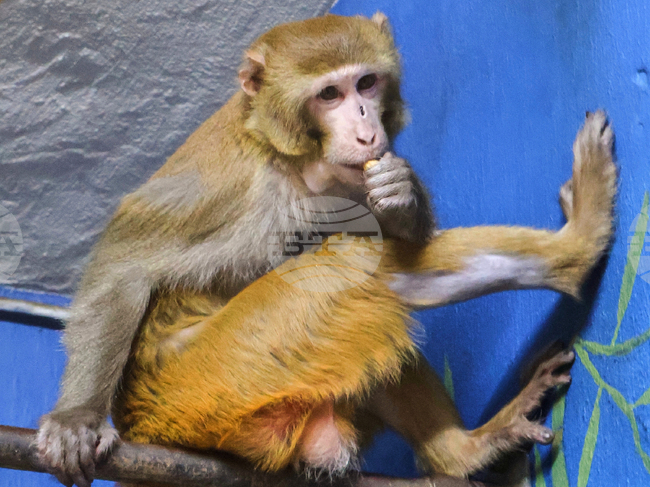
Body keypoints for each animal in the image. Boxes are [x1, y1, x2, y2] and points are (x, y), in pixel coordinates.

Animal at [35, 12, 616, 487]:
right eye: (329, 95)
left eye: (366, 83)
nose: (365, 125)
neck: (297, 163)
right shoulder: (229, 188)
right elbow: (124, 266)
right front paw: (76, 419)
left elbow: (401, 235)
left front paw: (402, 193)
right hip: (209, 380)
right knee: (358, 268)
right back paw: (580, 246)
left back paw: (463, 453)